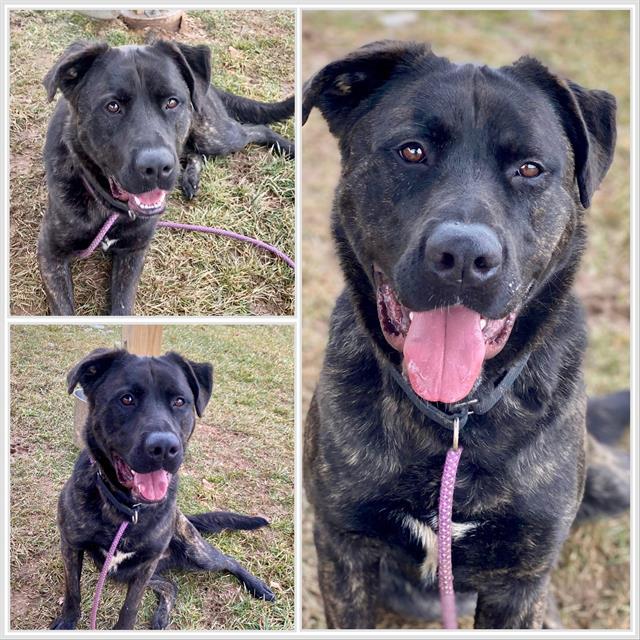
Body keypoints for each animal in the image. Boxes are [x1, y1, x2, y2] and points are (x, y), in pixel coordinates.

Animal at [37, 39, 292, 316]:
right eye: (113, 106)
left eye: (171, 102)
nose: (157, 167)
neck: (109, 208)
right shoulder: (50, 252)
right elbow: (64, 310)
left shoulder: (134, 251)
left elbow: (122, 307)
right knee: (197, 152)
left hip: (215, 136)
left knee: (256, 130)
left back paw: (288, 148)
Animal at [52, 348, 276, 628]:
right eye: (126, 399)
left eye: (179, 402)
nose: (164, 447)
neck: (128, 509)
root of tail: (182, 517)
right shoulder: (71, 546)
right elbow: (72, 590)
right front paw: (67, 621)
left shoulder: (145, 565)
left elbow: (130, 608)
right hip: (132, 572)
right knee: (171, 586)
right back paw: (161, 618)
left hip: (194, 553)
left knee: (228, 560)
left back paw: (257, 586)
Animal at [302, 41, 632, 632]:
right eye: (412, 152)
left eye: (529, 168)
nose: (462, 257)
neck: (454, 418)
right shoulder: (343, 547)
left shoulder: (519, 581)